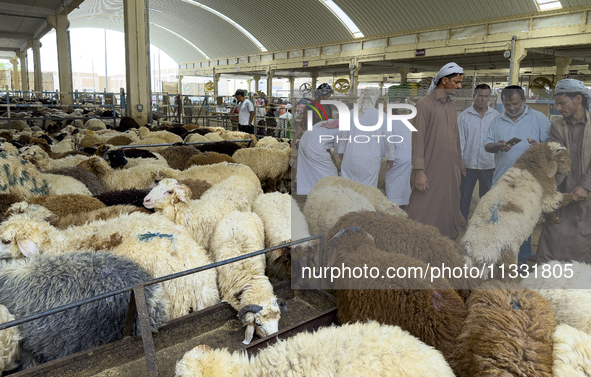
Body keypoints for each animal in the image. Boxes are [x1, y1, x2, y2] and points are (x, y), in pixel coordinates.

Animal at [460, 141, 576, 276]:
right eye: (562, 160)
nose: (568, 172)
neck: (530, 167)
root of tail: (478, 249)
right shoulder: (548, 196)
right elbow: (561, 200)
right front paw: (580, 197)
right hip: (508, 252)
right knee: (506, 273)